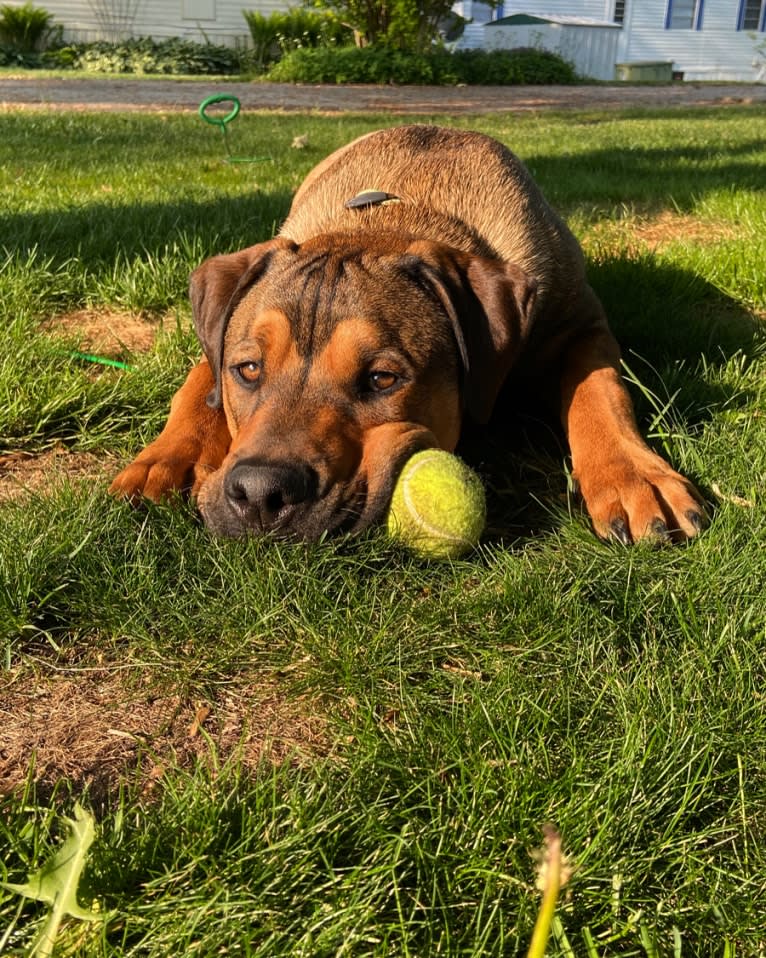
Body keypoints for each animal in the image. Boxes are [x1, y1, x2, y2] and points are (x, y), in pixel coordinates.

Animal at [109, 125, 708, 548]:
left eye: (382, 378)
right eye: (248, 369)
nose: (259, 494)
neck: (397, 217)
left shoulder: (581, 321)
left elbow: (600, 390)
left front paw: (632, 478)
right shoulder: (216, 345)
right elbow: (195, 387)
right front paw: (164, 462)